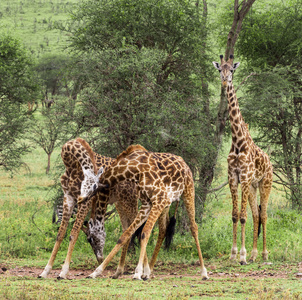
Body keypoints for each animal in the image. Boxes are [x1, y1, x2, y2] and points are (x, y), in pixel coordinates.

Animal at [39, 138, 172, 278]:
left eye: (90, 239)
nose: (99, 259)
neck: (71, 165)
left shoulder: (86, 202)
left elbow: (73, 234)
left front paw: (63, 272)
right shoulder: (68, 197)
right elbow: (60, 234)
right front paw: (45, 271)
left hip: (133, 201)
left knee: (148, 229)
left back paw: (146, 270)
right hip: (124, 202)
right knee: (138, 228)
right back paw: (121, 271)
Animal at [79, 144, 209, 280]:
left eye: (90, 239)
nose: (80, 199)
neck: (135, 170)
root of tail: (183, 161)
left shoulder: (159, 200)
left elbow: (144, 233)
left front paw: (137, 273)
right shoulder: (147, 204)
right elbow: (126, 234)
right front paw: (96, 272)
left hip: (188, 191)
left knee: (193, 227)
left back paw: (204, 272)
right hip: (167, 203)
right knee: (164, 229)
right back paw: (149, 271)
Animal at [212, 55, 274, 264]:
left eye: (232, 69)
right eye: (220, 69)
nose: (225, 81)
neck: (238, 142)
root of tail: (270, 163)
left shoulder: (245, 178)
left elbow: (243, 216)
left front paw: (242, 255)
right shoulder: (233, 177)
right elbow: (234, 215)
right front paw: (233, 254)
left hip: (265, 184)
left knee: (263, 215)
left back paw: (263, 254)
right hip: (253, 187)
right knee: (256, 215)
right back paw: (255, 254)